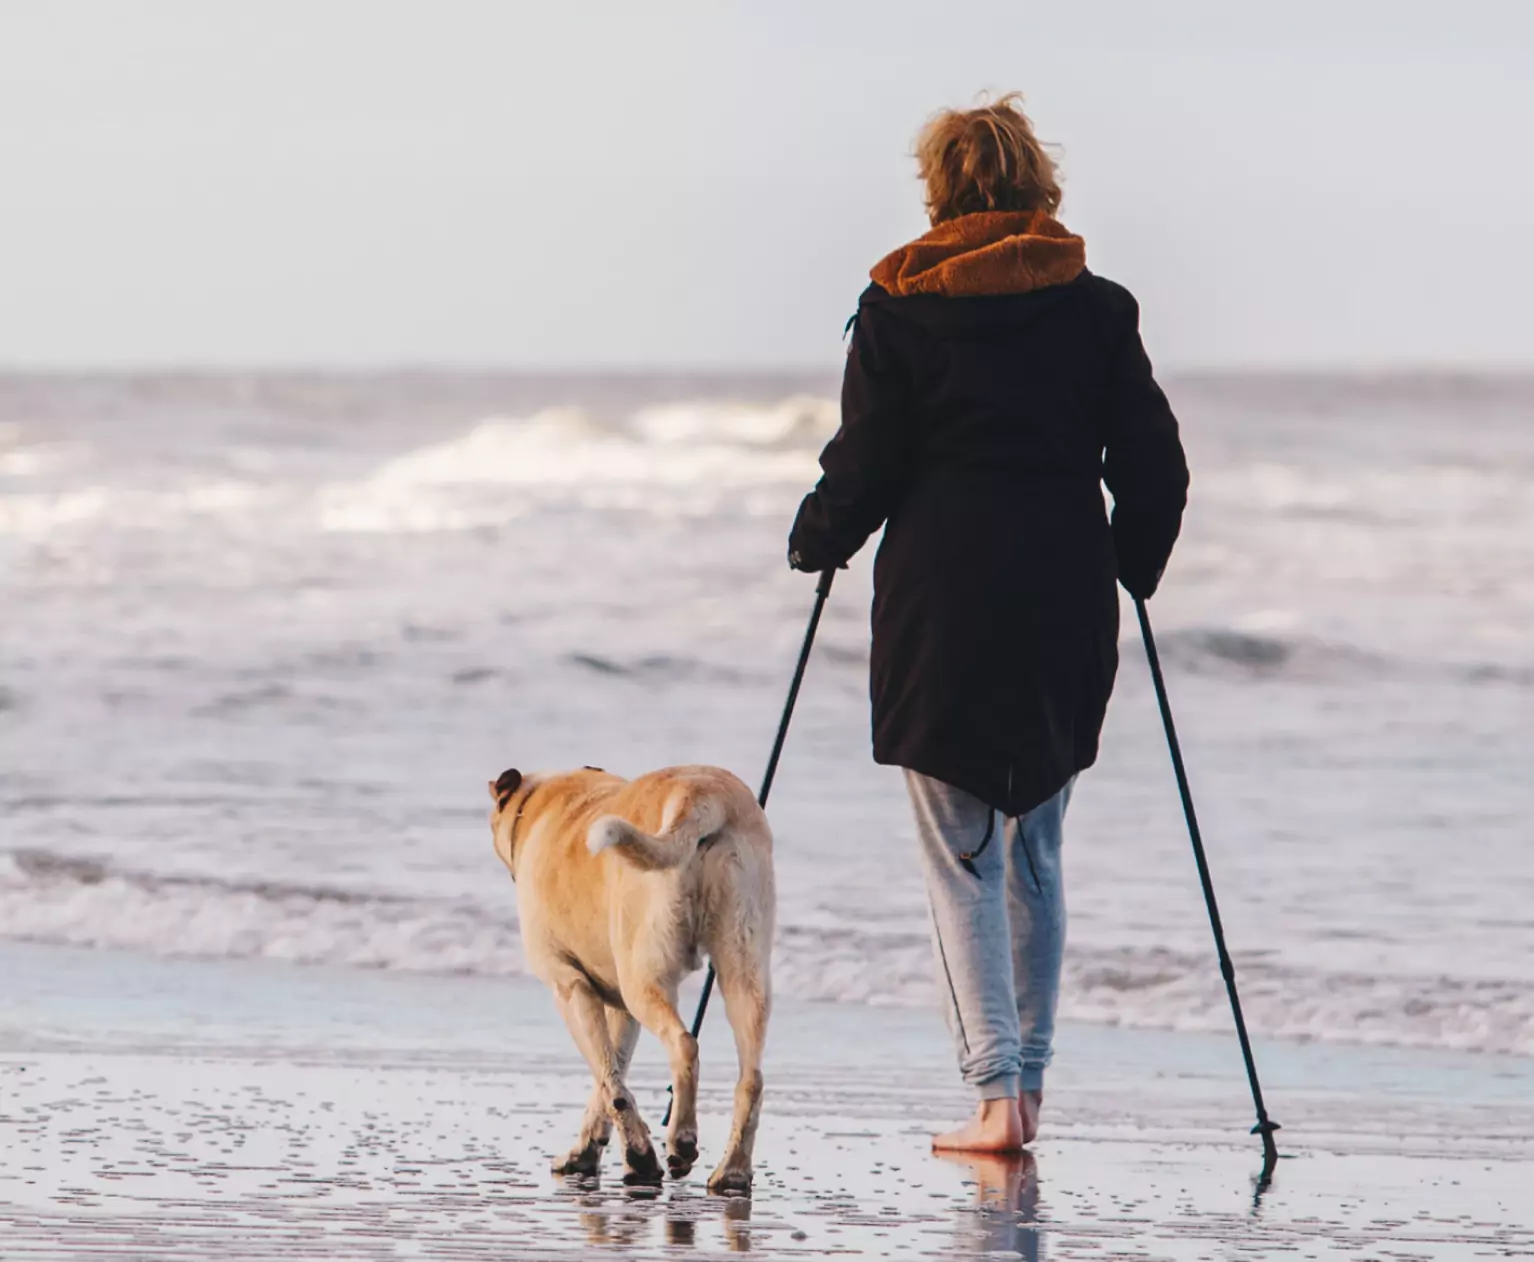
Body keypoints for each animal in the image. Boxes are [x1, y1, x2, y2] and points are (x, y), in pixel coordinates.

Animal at [490, 760, 773, 1196]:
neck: (538, 804)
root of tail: (702, 797)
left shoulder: (571, 989)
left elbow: (609, 1080)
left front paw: (639, 1156)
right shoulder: (620, 1010)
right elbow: (612, 1076)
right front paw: (589, 1153)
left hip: (644, 979)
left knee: (684, 1044)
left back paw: (682, 1139)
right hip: (744, 967)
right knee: (752, 1077)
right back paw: (733, 1172)